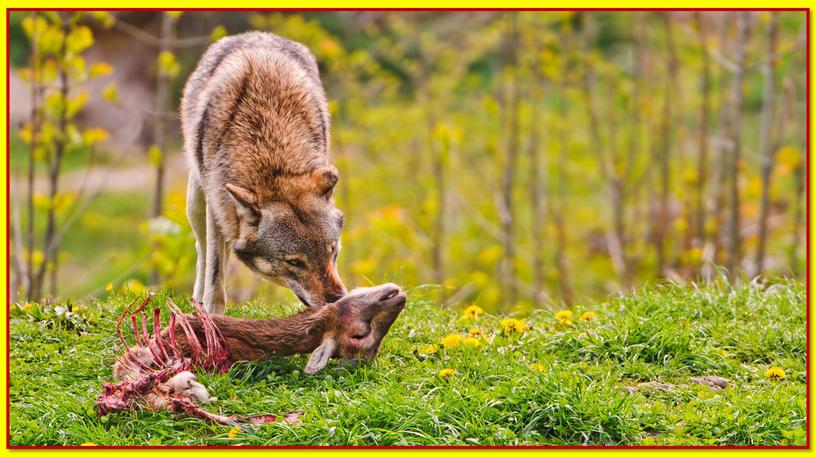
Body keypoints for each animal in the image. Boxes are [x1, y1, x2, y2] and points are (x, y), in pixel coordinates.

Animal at [180, 30, 346, 312]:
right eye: (294, 262)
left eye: (331, 250)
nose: (337, 299)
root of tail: (256, 34)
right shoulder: (217, 210)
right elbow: (215, 274)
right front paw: (212, 315)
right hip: (197, 204)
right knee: (202, 251)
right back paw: (198, 301)